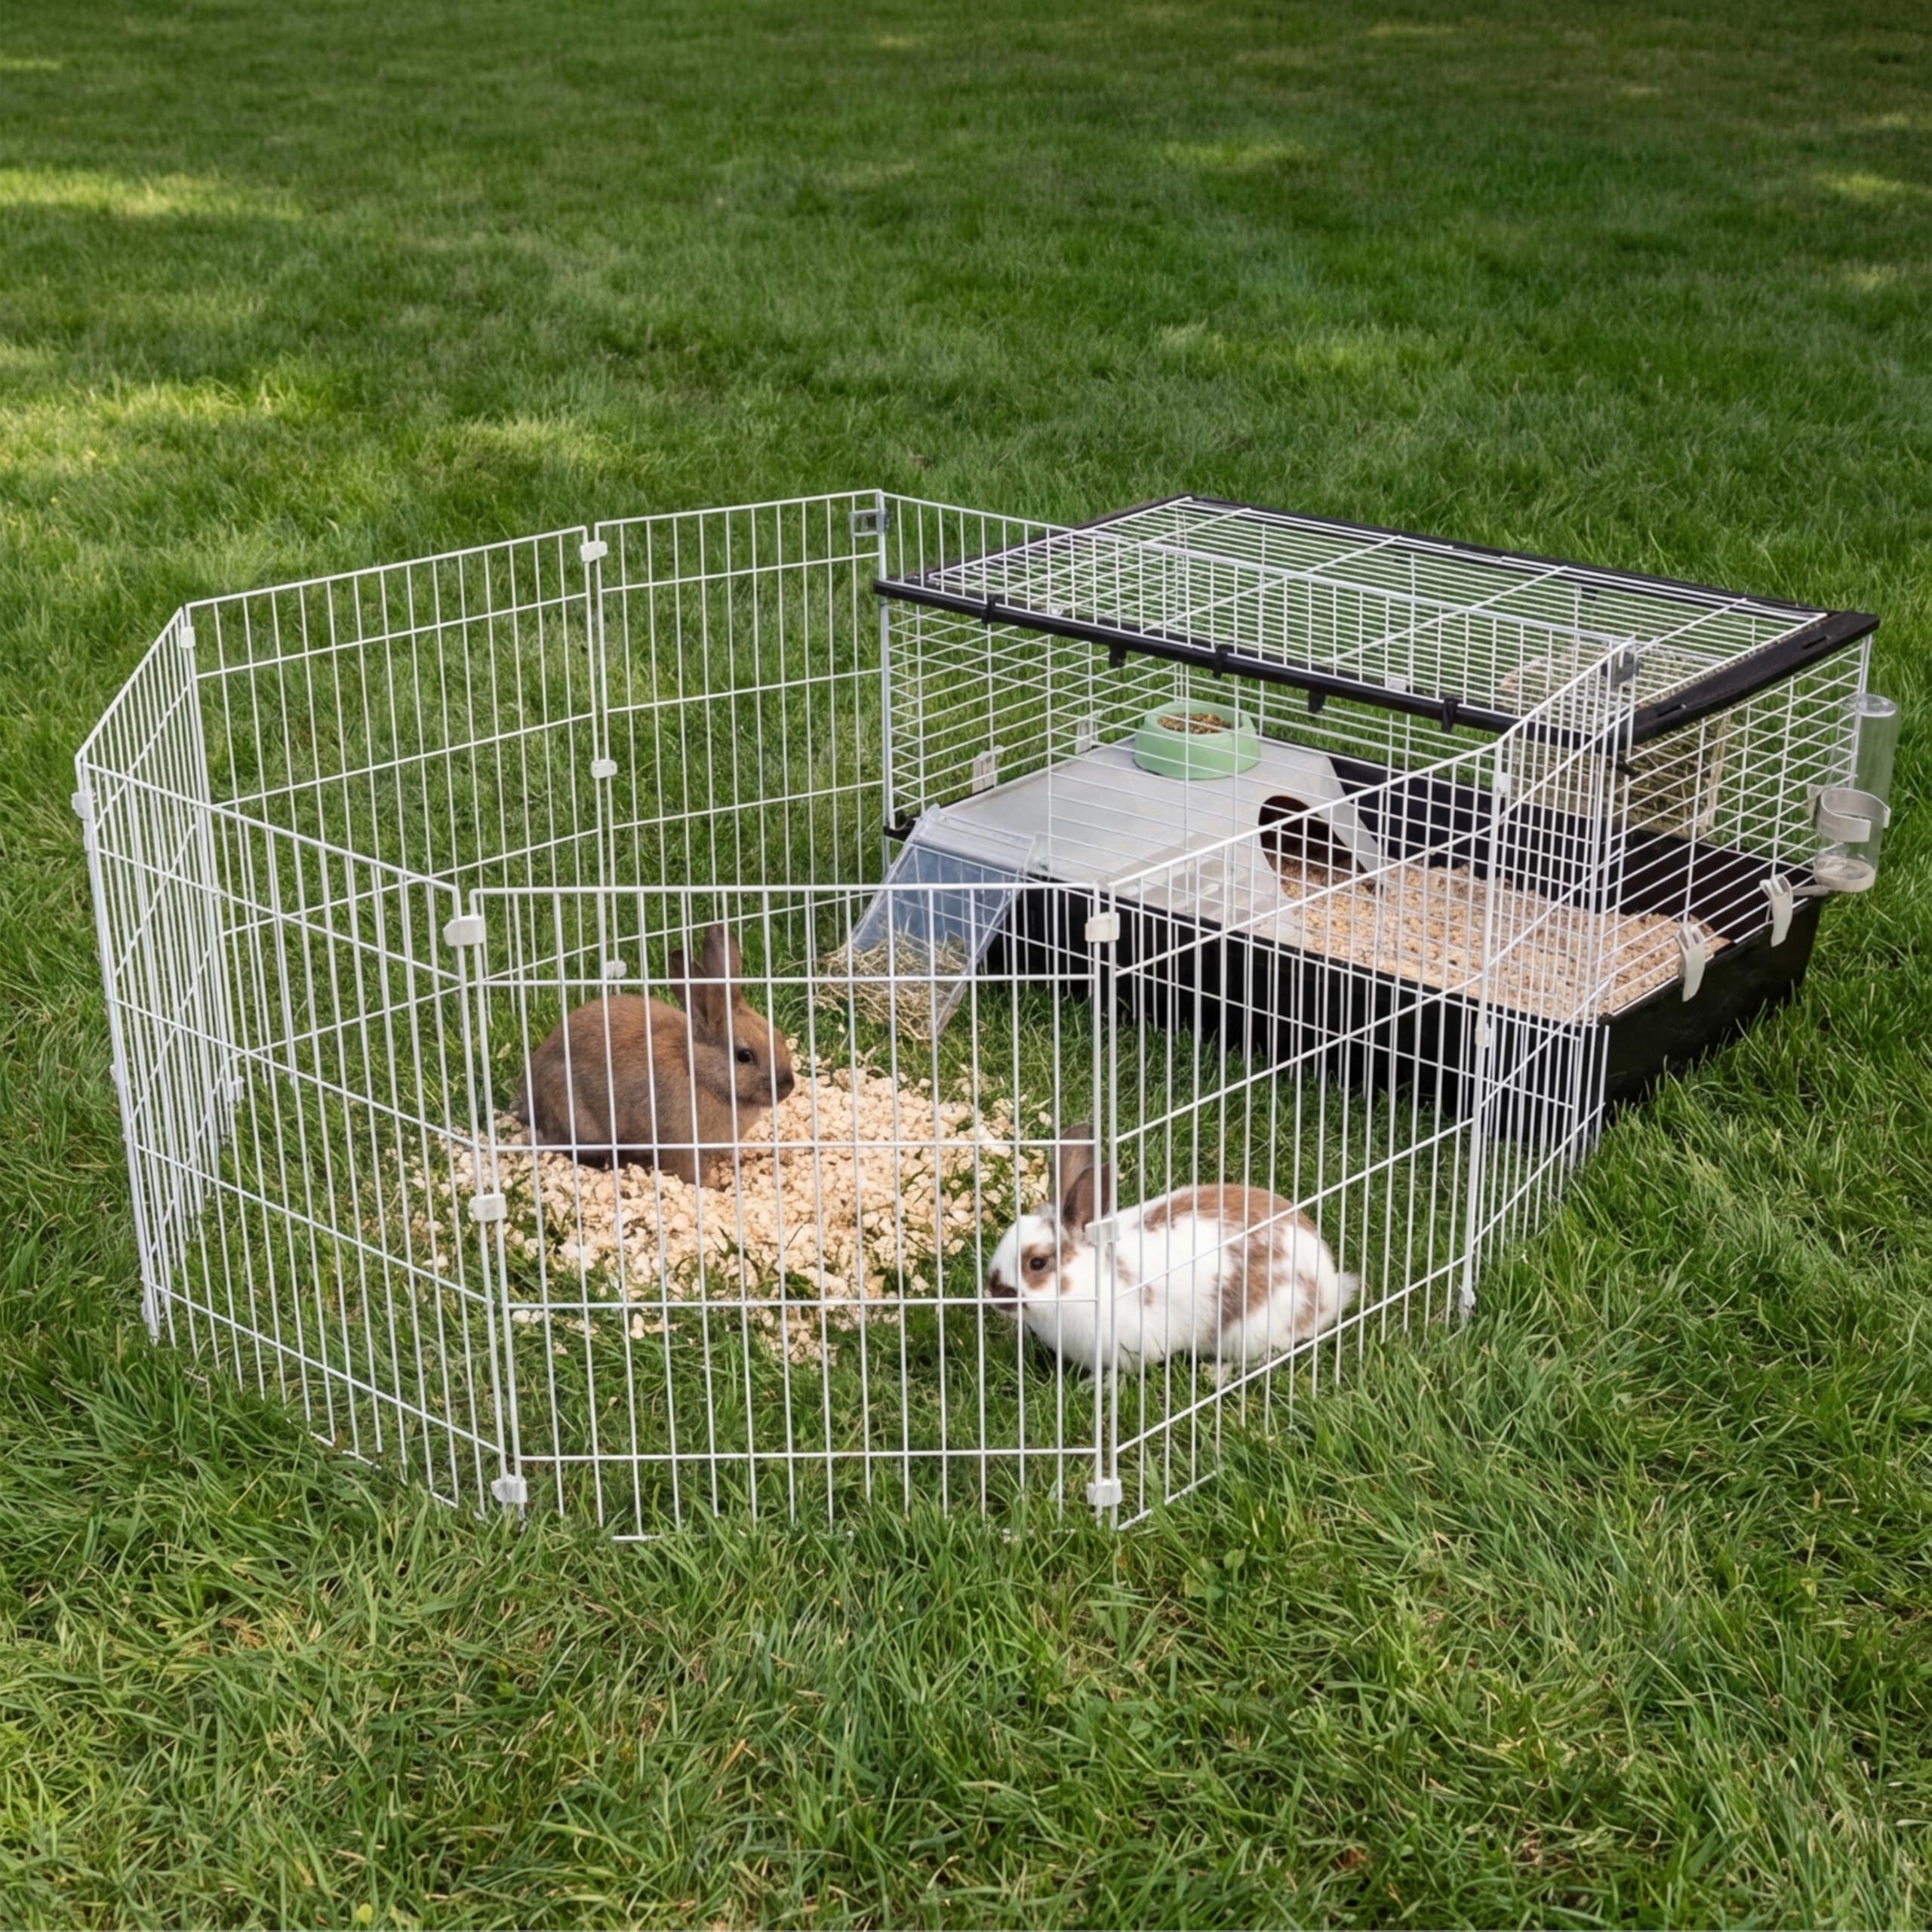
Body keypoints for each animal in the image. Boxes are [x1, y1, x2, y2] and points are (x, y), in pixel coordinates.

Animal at [509, 923, 795, 1187]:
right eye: (744, 1056)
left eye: (779, 1035)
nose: (787, 1086)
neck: (698, 1071)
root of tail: (529, 1096)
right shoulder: (679, 1143)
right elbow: (691, 1172)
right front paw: (714, 1186)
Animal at [985, 1123, 1356, 1382]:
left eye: (1037, 1263)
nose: (992, 1294)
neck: (1088, 1278)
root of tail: (1328, 1290)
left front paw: (1094, 1385)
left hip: (1253, 1330)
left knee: (1263, 1358)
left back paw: (1216, 1374)